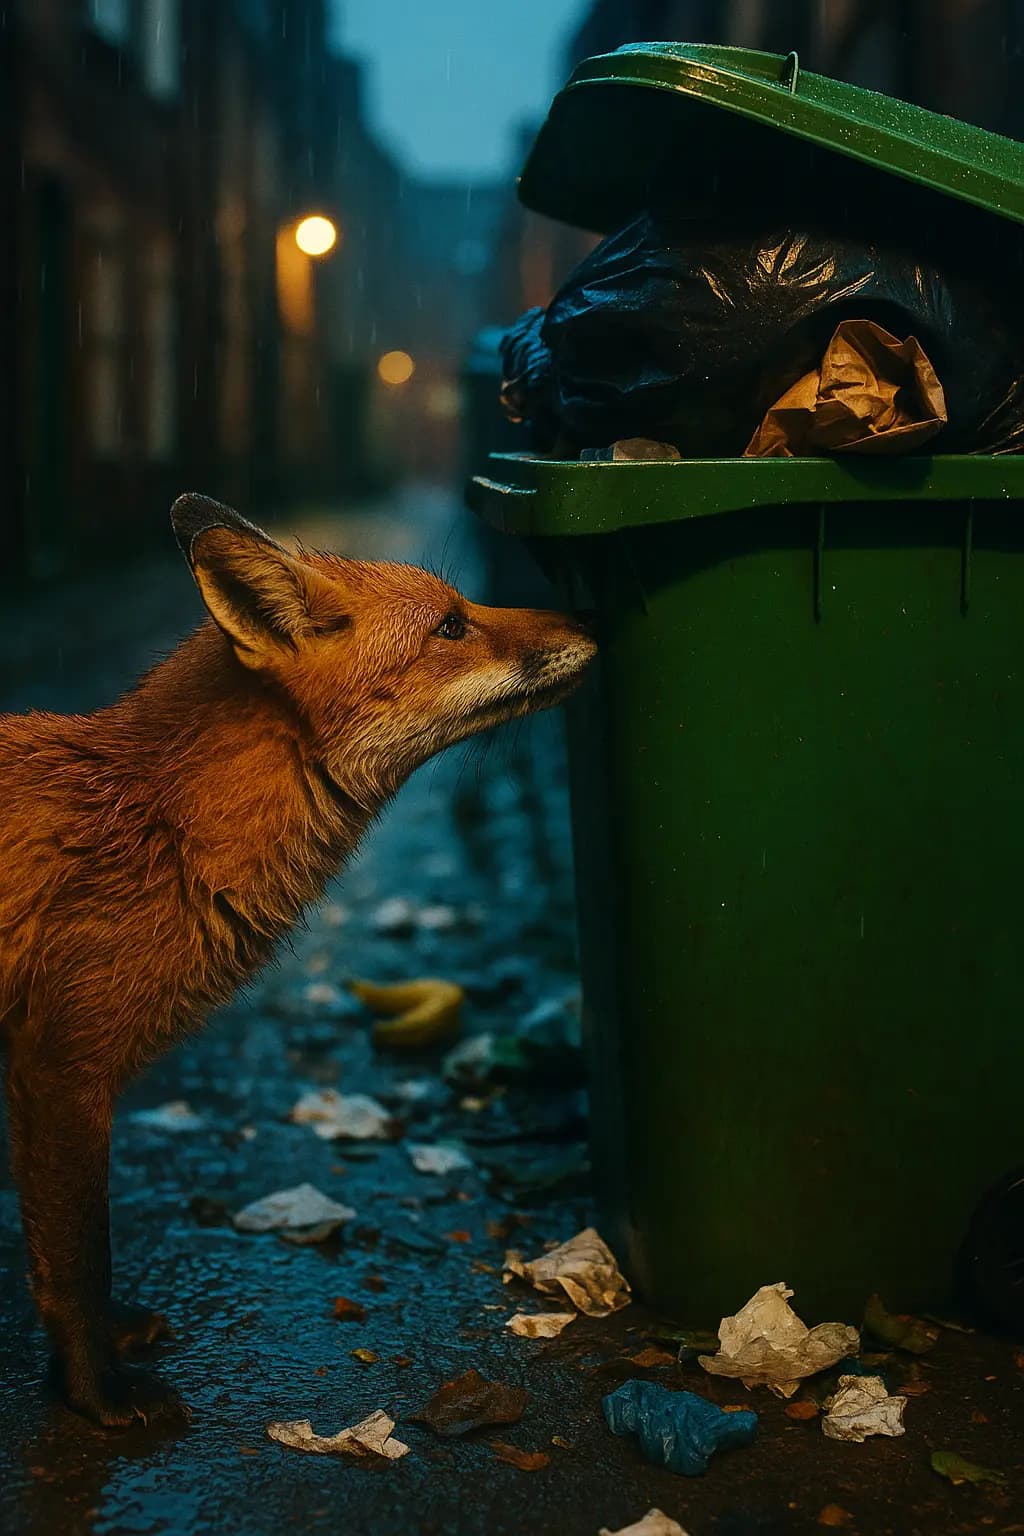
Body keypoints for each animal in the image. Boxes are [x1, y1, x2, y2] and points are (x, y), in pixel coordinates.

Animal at [0, 494, 595, 1428]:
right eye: (451, 625)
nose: (592, 620)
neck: (161, 826)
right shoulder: (60, 1067)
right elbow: (75, 1257)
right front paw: (92, 1389)